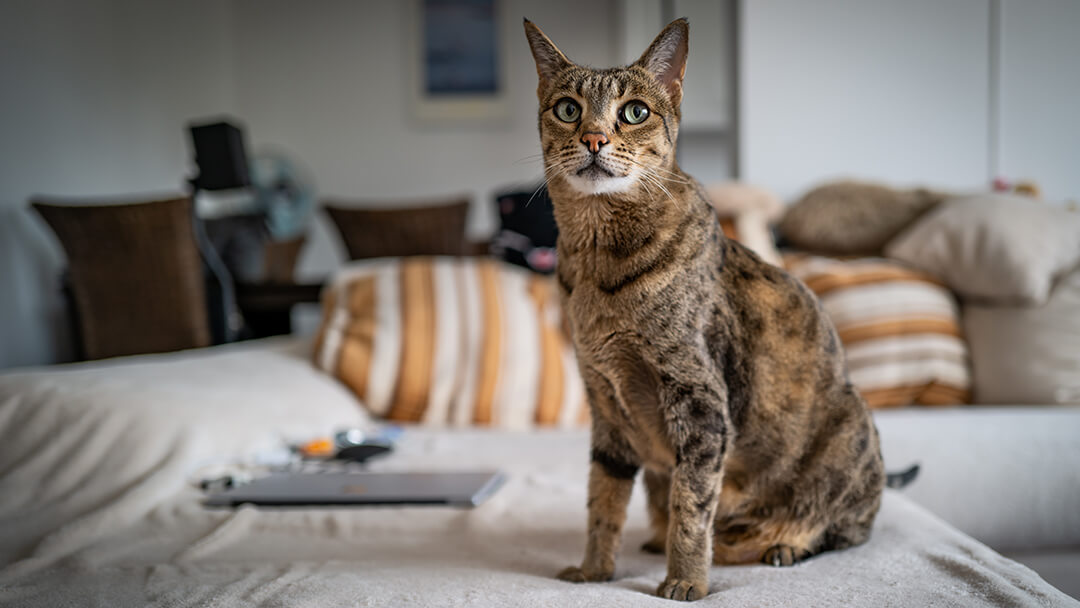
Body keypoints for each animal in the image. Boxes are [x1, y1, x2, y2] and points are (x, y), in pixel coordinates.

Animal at [522, 16, 885, 600]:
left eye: (635, 111)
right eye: (568, 108)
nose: (594, 138)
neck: (599, 267)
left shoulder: (700, 403)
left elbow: (692, 506)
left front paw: (685, 581)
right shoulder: (605, 405)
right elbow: (603, 501)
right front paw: (595, 570)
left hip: (851, 431)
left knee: (843, 527)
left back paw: (784, 544)